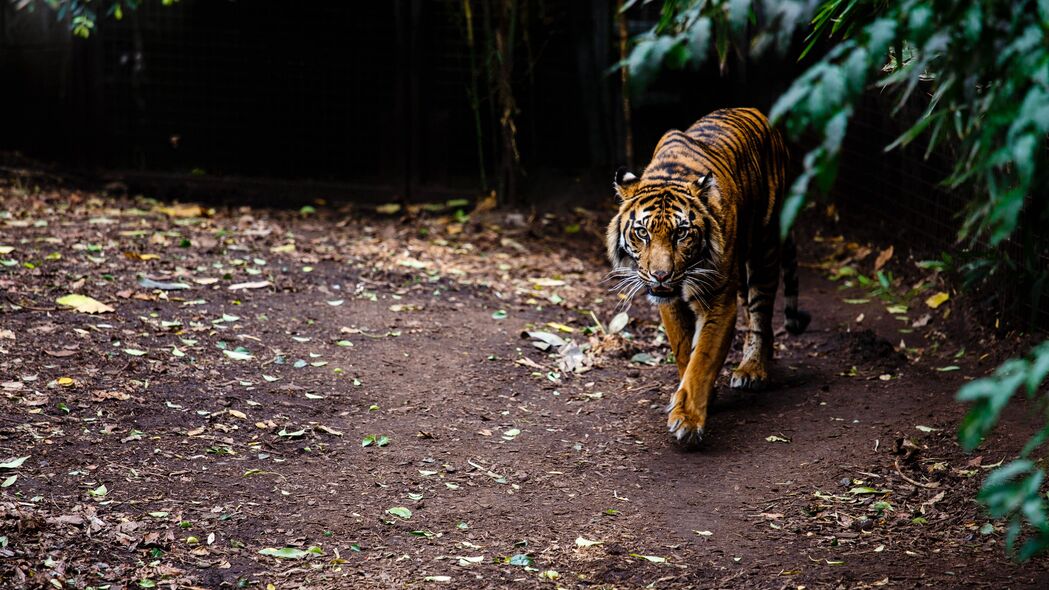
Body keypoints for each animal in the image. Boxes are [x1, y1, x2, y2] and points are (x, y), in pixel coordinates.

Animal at [608, 106, 809, 445]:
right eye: (642, 233)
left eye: (681, 233)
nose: (660, 275)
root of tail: (758, 112)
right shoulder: (671, 303)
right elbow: (683, 351)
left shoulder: (717, 300)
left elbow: (702, 358)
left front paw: (688, 421)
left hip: (764, 248)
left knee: (760, 313)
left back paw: (753, 369)